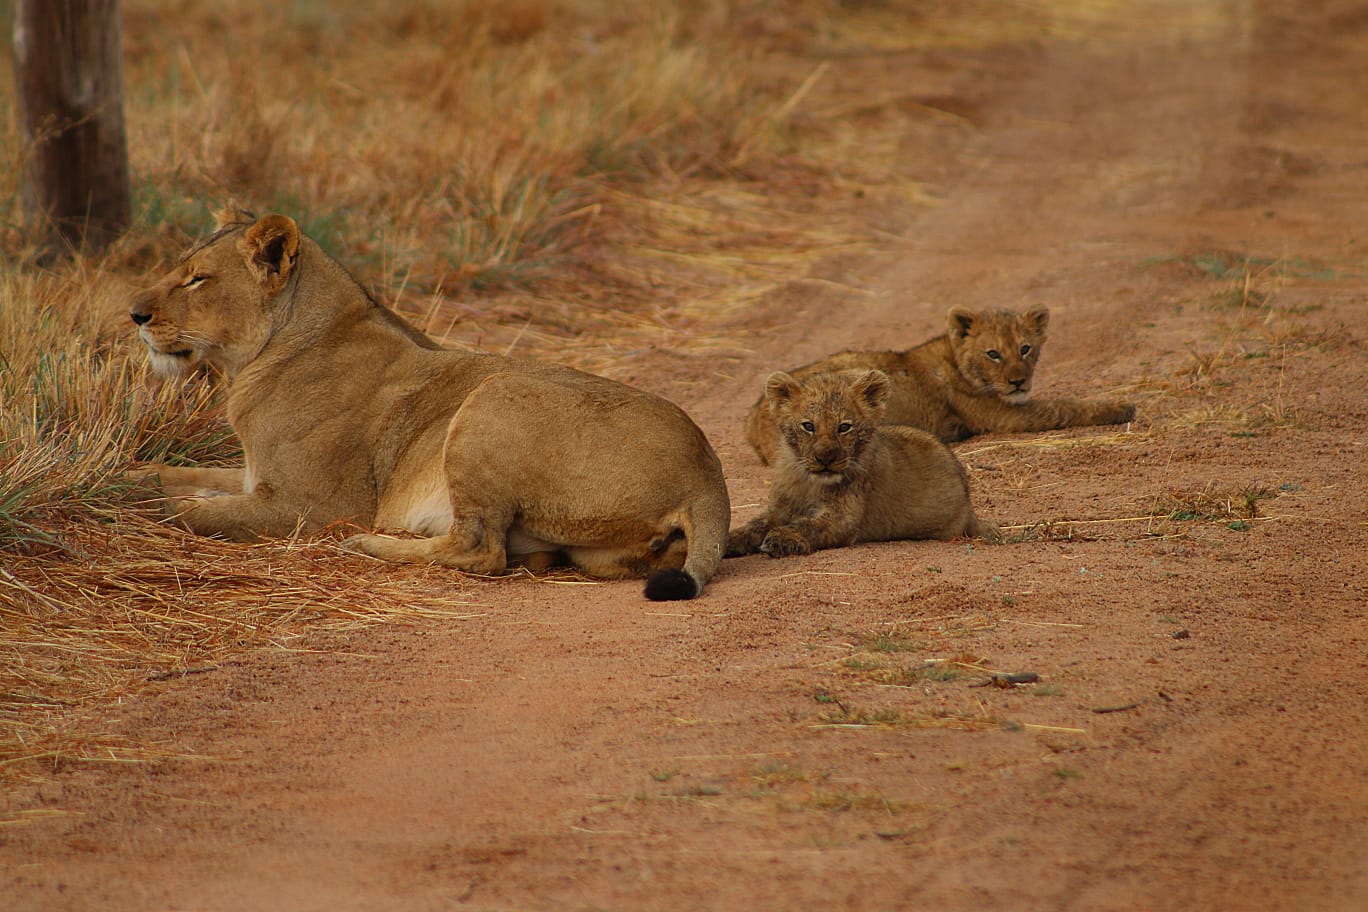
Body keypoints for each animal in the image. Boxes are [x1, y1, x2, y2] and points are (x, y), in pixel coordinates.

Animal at [129, 207, 729, 601]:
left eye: (196, 279)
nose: (134, 315)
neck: (261, 358)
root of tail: (706, 472)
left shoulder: (313, 505)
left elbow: (193, 511)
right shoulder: (256, 477)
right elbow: (168, 477)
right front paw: (121, 480)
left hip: (495, 395)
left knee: (480, 549)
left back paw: (369, 546)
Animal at [726, 369, 998, 559]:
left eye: (844, 427)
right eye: (808, 426)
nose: (825, 458)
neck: (809, 481)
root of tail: (969, 506)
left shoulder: (843, 519)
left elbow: (807, 525)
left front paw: (782, 538)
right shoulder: (779, 510)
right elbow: (756, 524)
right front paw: (730, 539)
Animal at [745, 305, 1136, 464]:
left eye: (1026, 348)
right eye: (993, 354)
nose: (1018, 381)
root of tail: (756, 420)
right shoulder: (1003, 415)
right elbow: (1064, 406)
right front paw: (1122, 407)